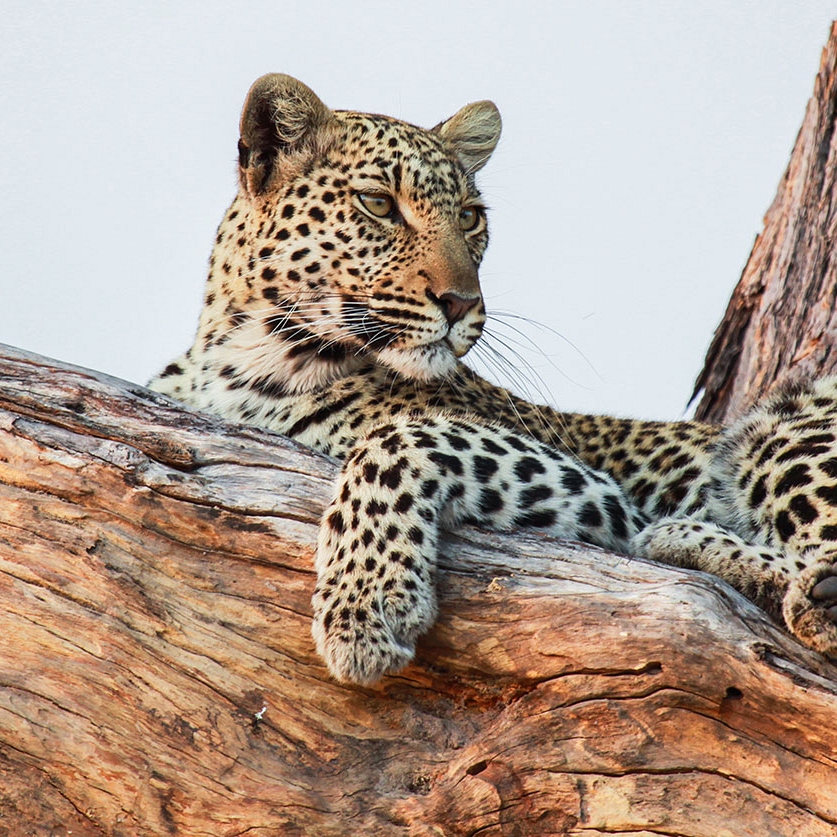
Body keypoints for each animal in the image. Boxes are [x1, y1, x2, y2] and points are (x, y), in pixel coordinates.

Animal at [150, 73, 836, 684]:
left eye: (471, 216)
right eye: (379, 204)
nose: (460, 303)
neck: (243, 355)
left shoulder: (597, 495)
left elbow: (396, 441)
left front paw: (366, 607)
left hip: (782, 428)